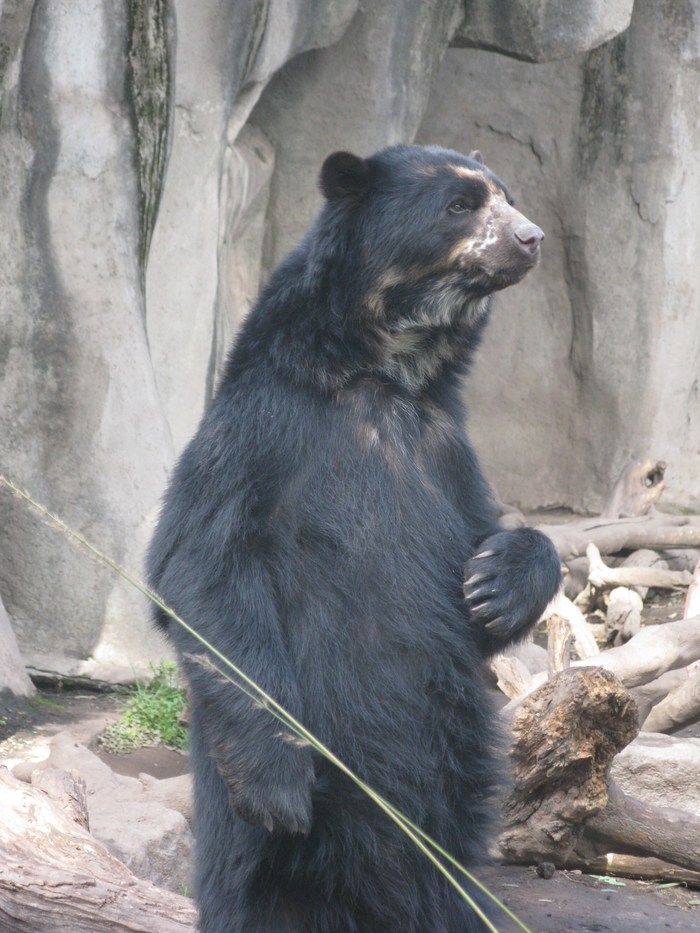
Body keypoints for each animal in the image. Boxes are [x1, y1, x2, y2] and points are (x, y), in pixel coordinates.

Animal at [148, 144, 564, 932]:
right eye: (460, 205)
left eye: (508, 195)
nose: (532, 239)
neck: (387, 372)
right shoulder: (261, 429)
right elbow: (200, 566)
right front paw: (279, 785)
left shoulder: (446, 446)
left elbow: (482, 543)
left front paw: (494, 585)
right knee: (248, 885)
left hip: (458, 767)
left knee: (450, 874)